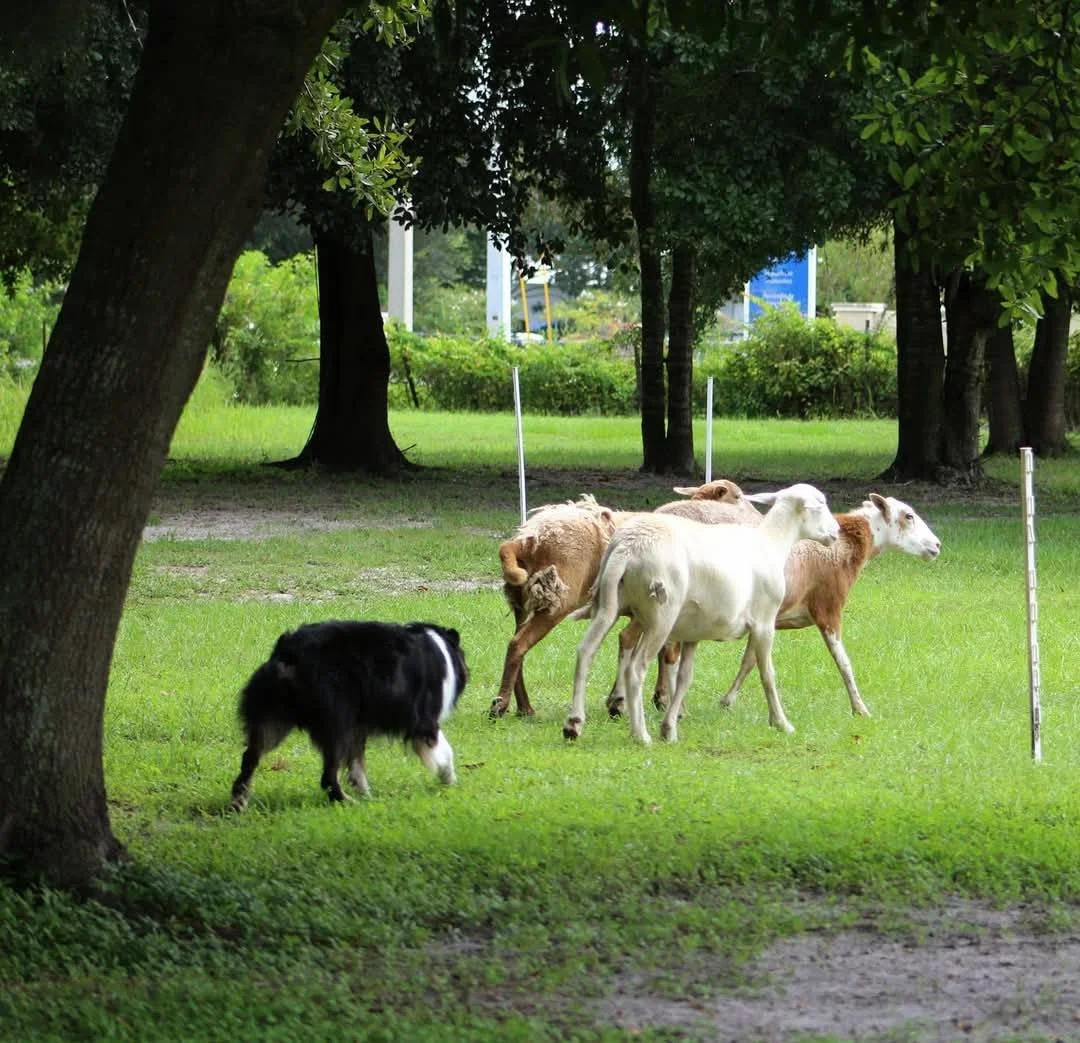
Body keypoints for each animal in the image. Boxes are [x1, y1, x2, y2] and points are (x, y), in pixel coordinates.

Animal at [491, 480, 756, 718]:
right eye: (737, 496)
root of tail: (525, 540)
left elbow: (657, 649)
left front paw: (657, 699)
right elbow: (655, 649)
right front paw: (659, 704)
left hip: (524, 601)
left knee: (515, 644)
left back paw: (523, 707)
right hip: (558, 599)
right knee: (518, 645)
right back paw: (500, 706)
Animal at [564, 483, 840, 744]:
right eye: (822, 504)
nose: (836, 532)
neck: (772, 543)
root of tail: (628, 548)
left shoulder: (692, 633)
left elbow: (685, 678)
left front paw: (669, 728)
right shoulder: (764, 622)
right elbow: (767, 674)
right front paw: (781, 723)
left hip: (612, 605)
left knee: (586, 651)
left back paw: (574, 724)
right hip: (660, 617)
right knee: (636, 668)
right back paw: (640, 734)